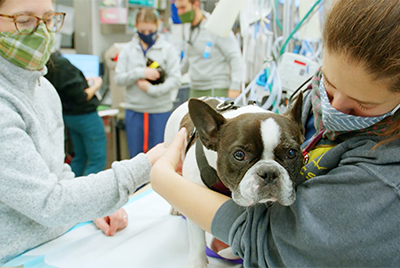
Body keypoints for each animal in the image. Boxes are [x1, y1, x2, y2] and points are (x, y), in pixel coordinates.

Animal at [162, 92, 304, 268]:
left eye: (291, 153)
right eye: (239, 155)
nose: (269, 172)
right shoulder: (192, 199)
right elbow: (198, 242)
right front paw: (198, 263)